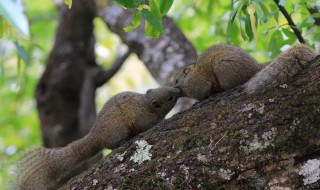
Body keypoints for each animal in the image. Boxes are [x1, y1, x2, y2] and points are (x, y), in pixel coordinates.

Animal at [16, 87, 180, 189]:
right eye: (170, 98)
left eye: (167, 88)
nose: (178, 90)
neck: (146, 103)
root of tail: (95, 137)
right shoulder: (141, 116)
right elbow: (146, 124)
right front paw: (160, 121)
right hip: (117, 130)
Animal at [172, 43, 316, 100]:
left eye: (176, 80)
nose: (174, 89)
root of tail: (255, 67)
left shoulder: (198, 83)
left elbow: (203, 93)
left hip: (223, 68)